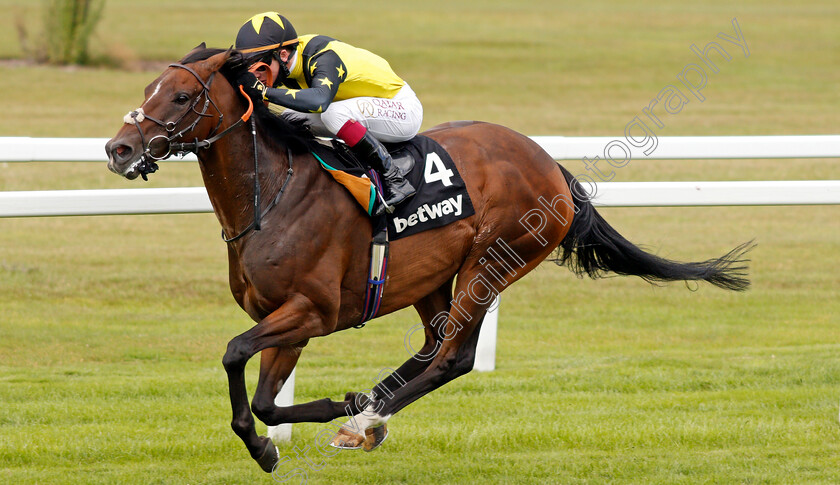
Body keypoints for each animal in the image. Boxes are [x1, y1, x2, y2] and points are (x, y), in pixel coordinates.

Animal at [105, 47, 756, 470]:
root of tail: (548, 163)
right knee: (431, 347)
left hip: (492, 262)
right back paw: (368, 413)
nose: (119, 149)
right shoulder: (286, 319)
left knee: (453, 357)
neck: (273, 195)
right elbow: (263, 398)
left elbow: (235, 354)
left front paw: (313, 424)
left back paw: (363, 422)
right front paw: (283, 437)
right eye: (145, 92)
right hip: (430, 279)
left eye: (181, 96)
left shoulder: (311, 311)